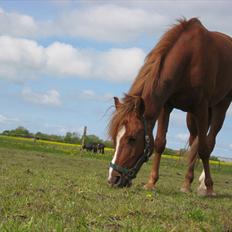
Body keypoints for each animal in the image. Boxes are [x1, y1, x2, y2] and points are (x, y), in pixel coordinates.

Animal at [108, 18, 231, 196]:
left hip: (220, 106)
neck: (189, 59)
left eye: (132, 138)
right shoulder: (166, 106)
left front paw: (209, 187)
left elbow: (203, 149)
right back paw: (187, 183)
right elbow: (160, 143)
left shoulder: (201, 108)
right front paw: (151, 182)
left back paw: (203, 185)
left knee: (209, 141)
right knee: (194, 142)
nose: (113, 179)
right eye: (115, 138)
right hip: (191, 117)